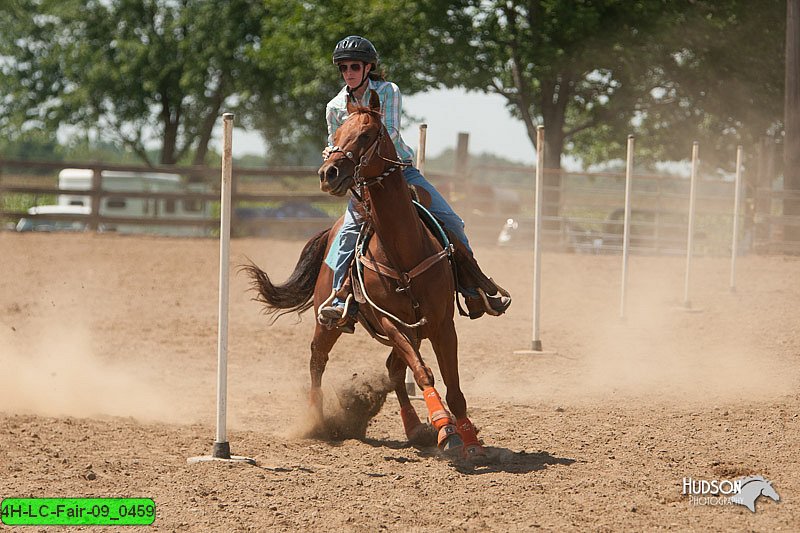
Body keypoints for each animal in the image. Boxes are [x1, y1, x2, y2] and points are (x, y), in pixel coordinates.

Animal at [242, 92, 482, 458]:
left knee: (394, 370)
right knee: (318, 360)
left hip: (416, 332)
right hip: (329, 323)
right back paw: (317, 421)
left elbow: (453, 386)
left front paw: (469, 438)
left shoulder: (442, 324)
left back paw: (415, 427)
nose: (328, 173)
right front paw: (445, 429)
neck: (403, 249)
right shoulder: (390, 323)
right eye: (337, 135)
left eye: (367, 135)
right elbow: (423, 372)